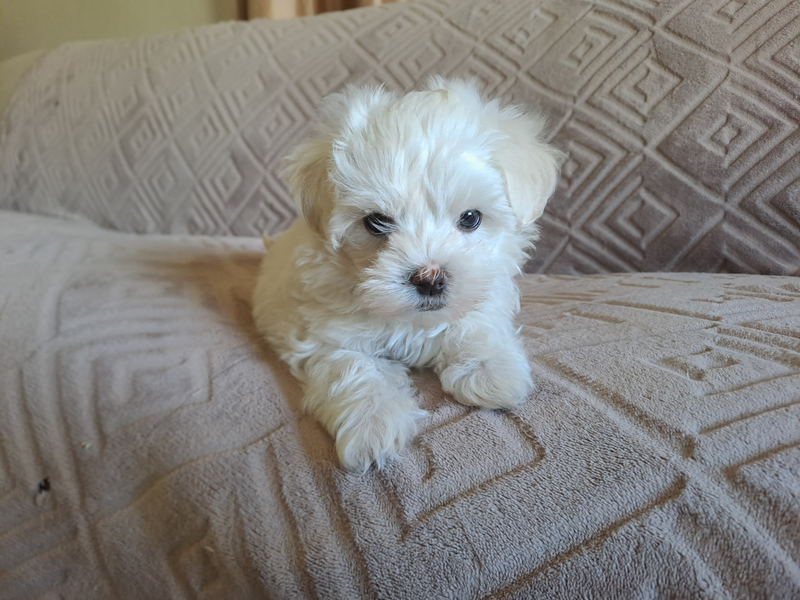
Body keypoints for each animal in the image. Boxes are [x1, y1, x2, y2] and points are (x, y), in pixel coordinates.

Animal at [253, 78, 560, 474]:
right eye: (376, 222)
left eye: (471, 218)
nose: (430, 278)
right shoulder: (324, 334)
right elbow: (352, 366)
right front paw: (373, 422)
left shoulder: (487, 287)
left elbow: (475, 318)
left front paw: (490, 370)